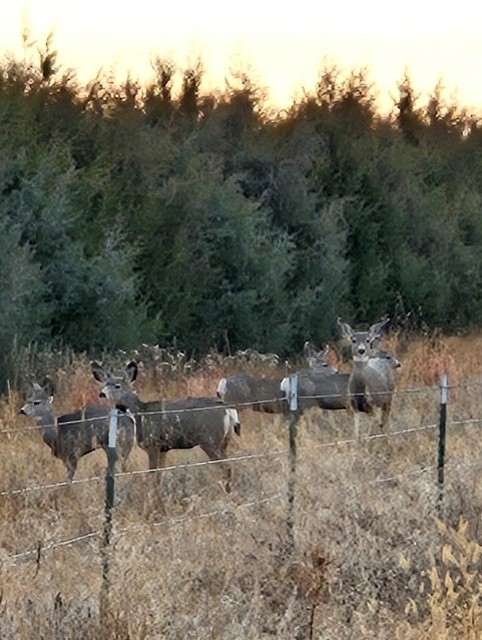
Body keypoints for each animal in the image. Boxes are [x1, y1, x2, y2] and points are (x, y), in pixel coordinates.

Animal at [91, 361, 241, 491]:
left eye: (117, 386)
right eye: (104, 384)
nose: (101, 393)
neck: (140, 413)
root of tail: (228, 409)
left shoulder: (153, 444)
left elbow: (152, 474)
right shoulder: (164, 448)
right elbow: (160, 475)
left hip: (210, 440)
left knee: (226, 467)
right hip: (223, 441)